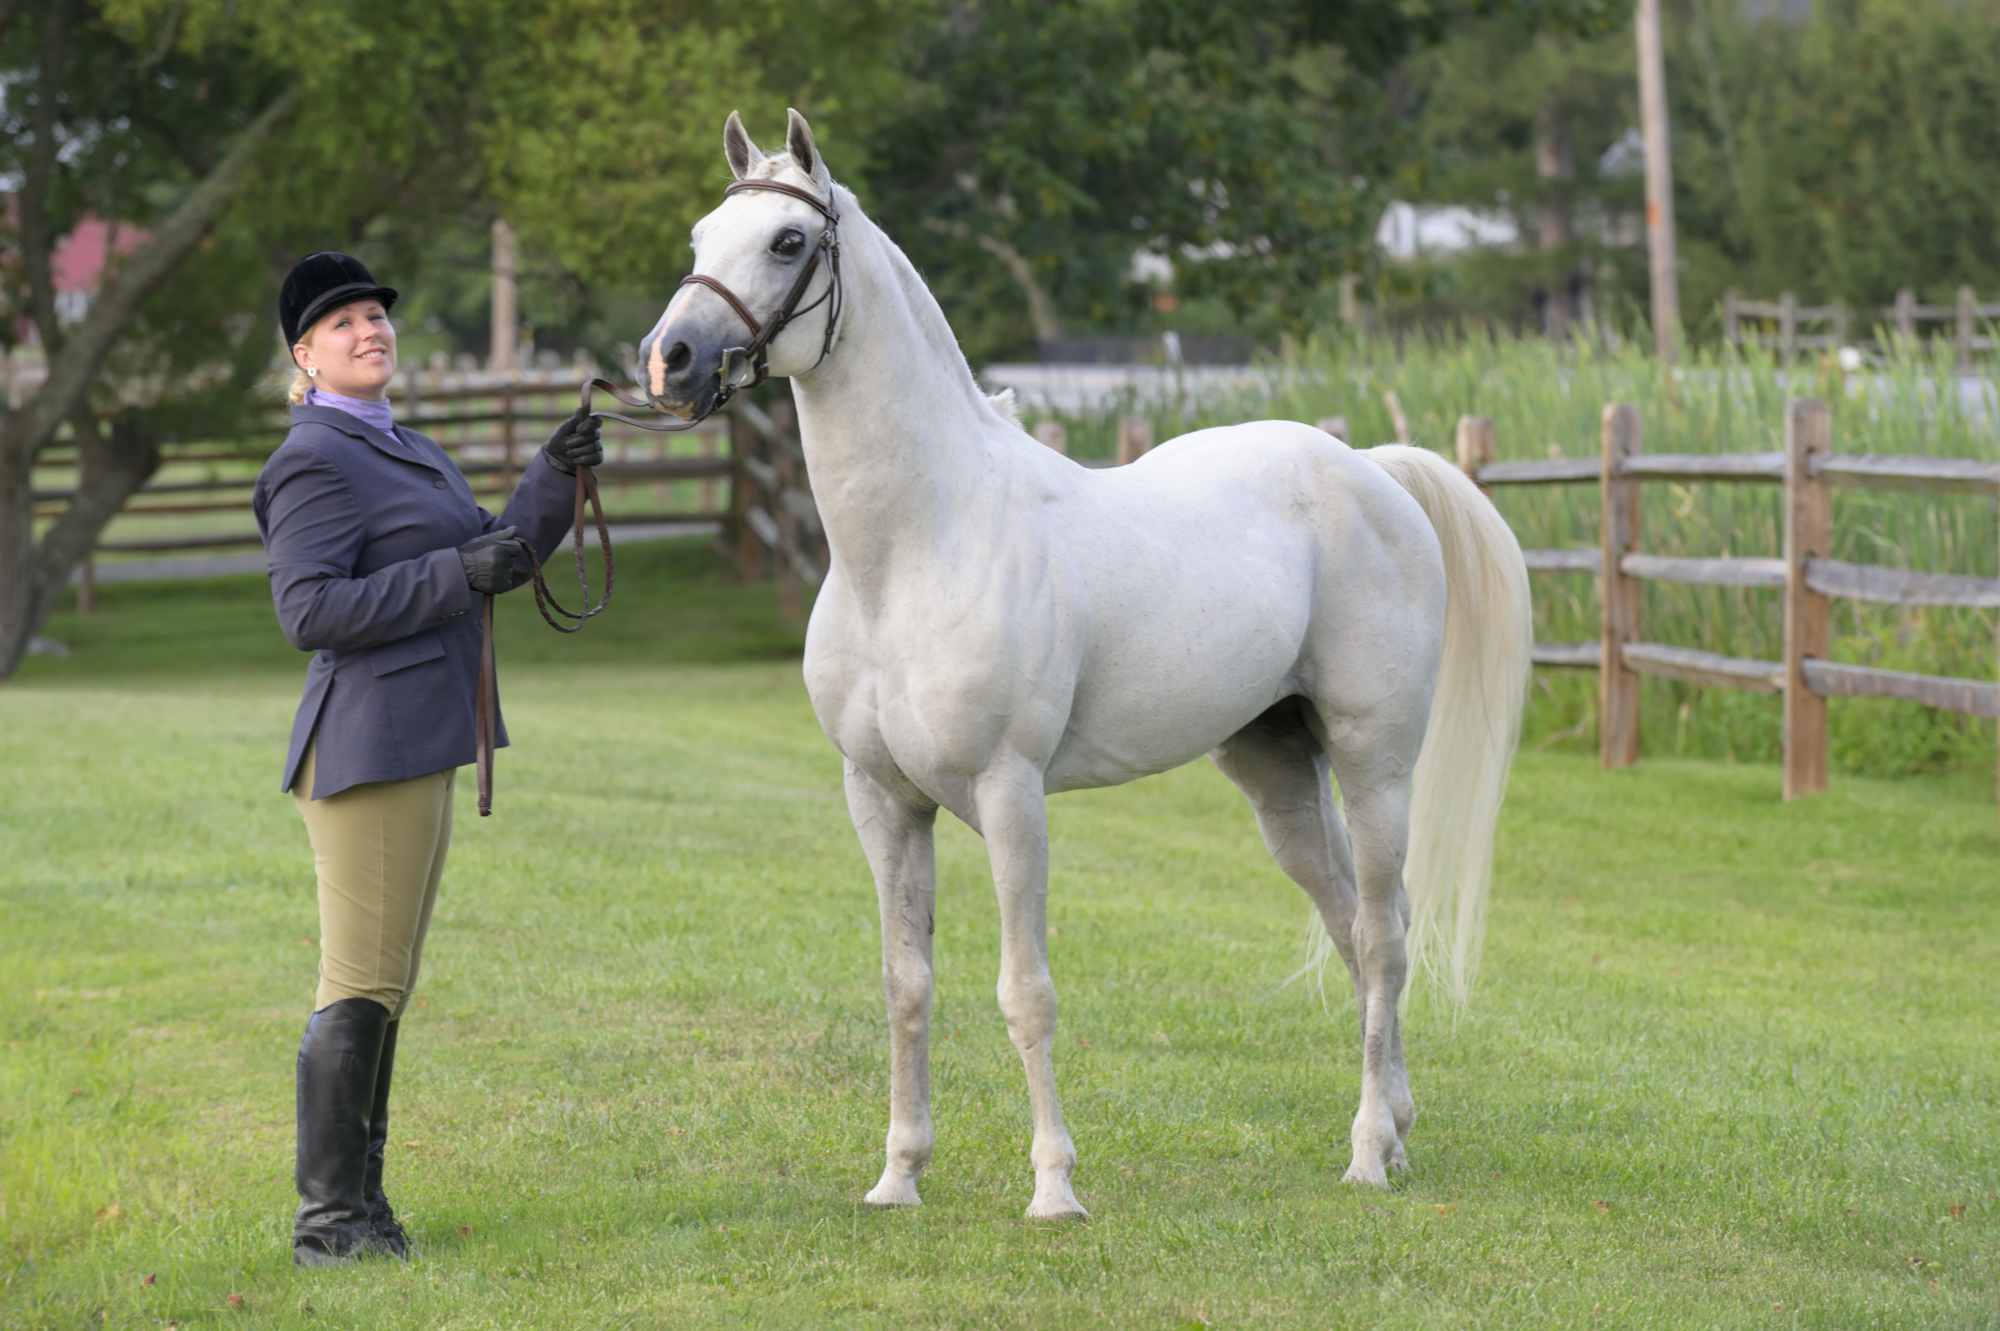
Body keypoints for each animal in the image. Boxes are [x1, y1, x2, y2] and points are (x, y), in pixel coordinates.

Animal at [640, 111, 1528, 1215]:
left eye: (787, 241)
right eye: (697, 237)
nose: (669, 360)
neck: (917, 544)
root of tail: (1371, 470)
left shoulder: (1009, 794)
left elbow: (1026, 990)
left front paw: (1053, 1186)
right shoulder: (881, 799)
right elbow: (904, 983)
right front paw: (898, 1174)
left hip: (1375, 766)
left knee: (1380, 934)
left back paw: (1367, 1150)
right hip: (1276, 770)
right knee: (1358, 924)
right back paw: (1397, 1131)